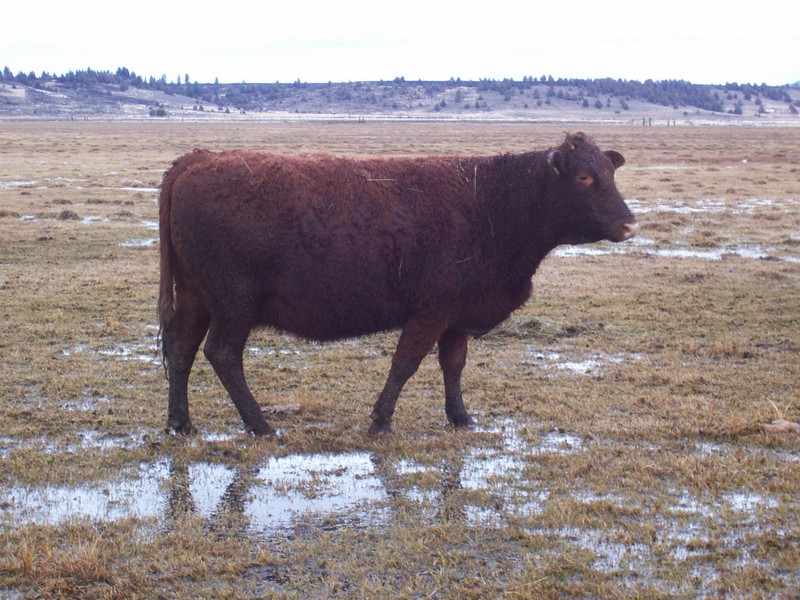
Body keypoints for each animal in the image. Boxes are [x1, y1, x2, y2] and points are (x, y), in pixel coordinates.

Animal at [158, 132, 638, 436]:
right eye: (584, 177)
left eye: (610, 174)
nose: (630, 224)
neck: (492, 202)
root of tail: (197, 158)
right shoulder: (431, 312)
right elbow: (405, 364)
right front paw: (381, 421)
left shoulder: (457, 318)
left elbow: (453, 366)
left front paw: (461, 417)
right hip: (235, 301)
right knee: (222, 354)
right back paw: (260, 426)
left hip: (197, 297)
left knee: (180, 351)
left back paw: (181, 423)